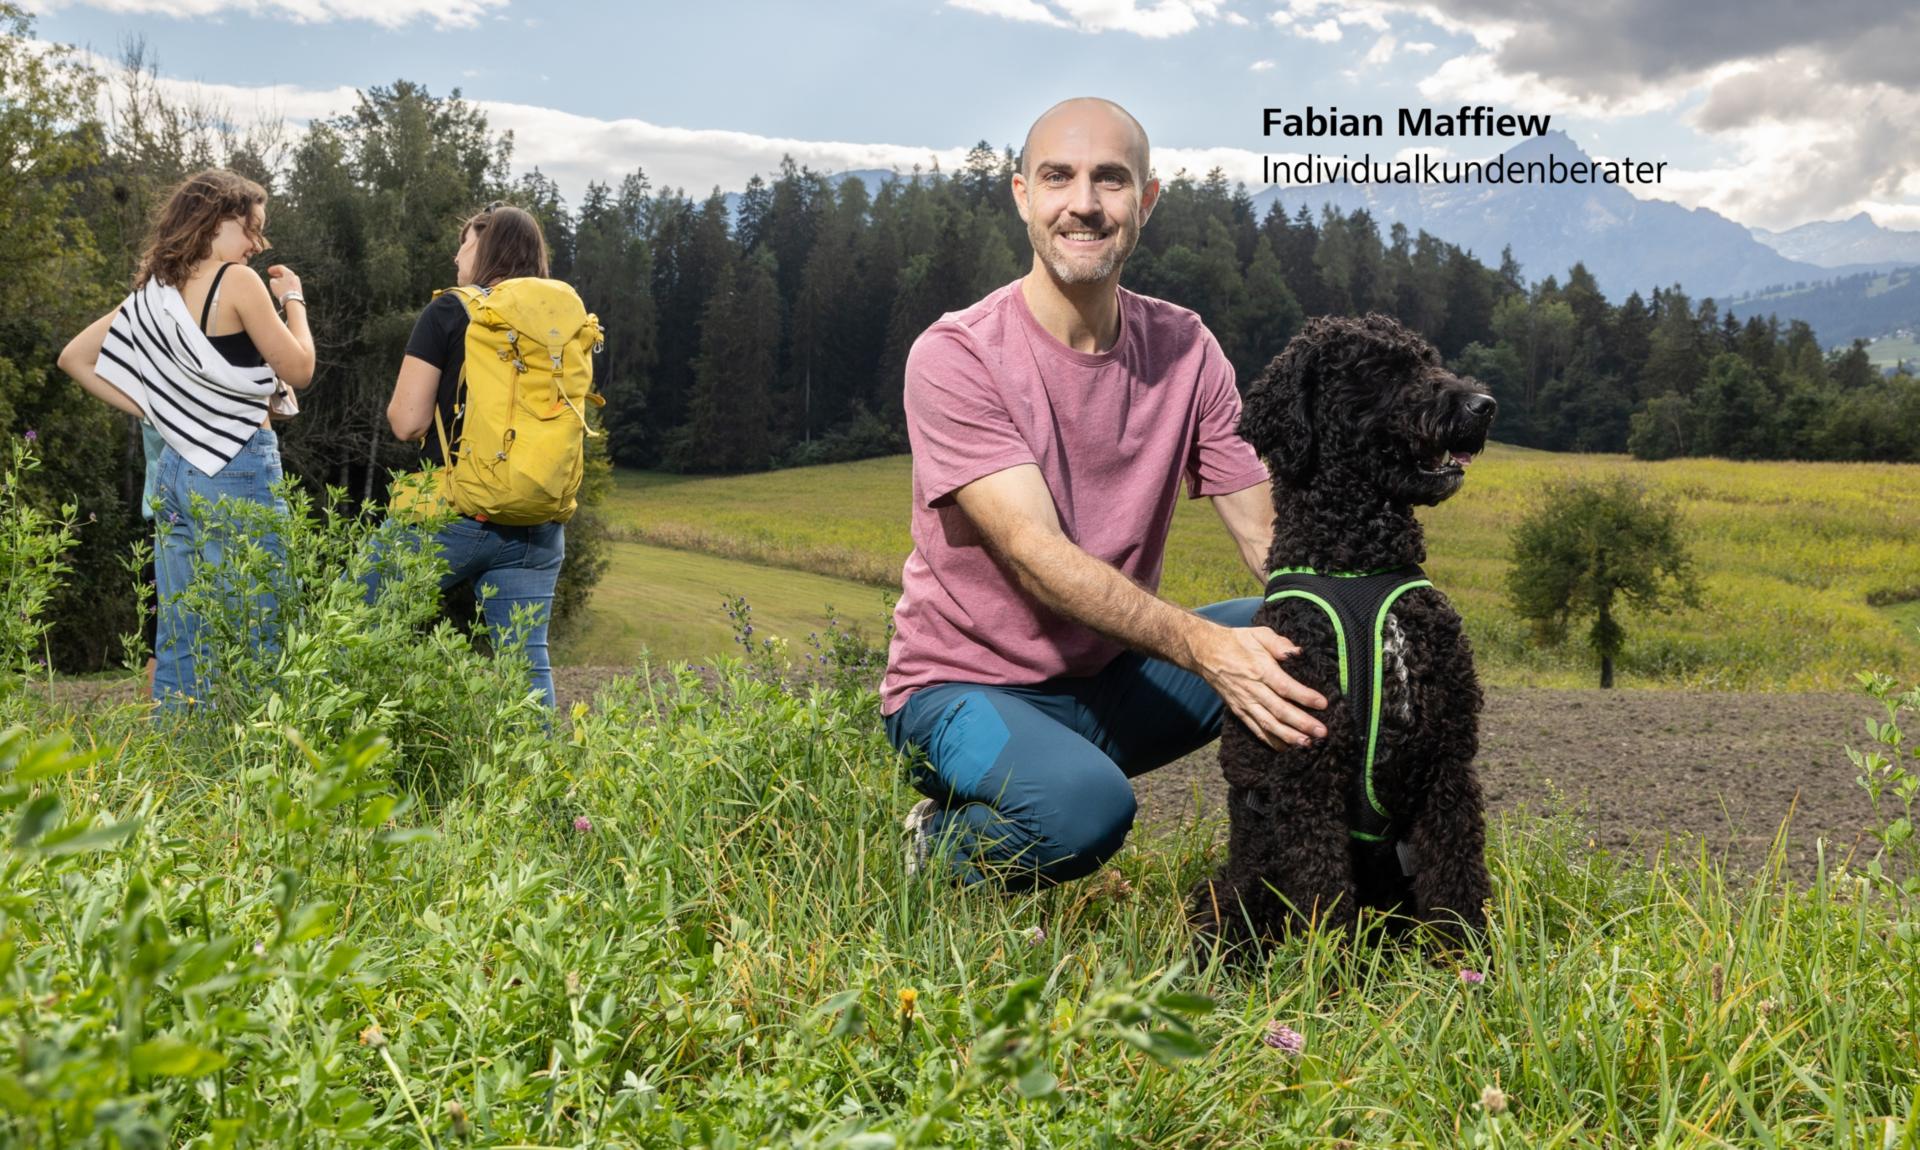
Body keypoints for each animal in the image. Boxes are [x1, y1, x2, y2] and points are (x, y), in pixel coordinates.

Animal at [1198, 312, 1497, 952]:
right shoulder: (1308, 773)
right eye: (1381, 370)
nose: (1483, 405)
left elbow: (1458, 880)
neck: (1361, 563)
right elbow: (1322, 894)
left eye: (1428, 360)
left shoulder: (1448, 761)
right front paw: (1327, 972)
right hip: (1237, 884)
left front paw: (1469, 964)